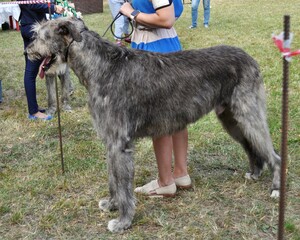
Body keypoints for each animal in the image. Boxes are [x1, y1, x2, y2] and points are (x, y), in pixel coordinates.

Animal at [25, 17, 282, 233]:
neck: (100, 66)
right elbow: (113, 179)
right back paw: (255, 173)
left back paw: (276, 188)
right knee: (251, 146)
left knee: (274, 154)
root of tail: (249, 57)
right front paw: (111, 204)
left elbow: (123, 184)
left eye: (40, 36)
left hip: (249, 114)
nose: (27, 51)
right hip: (231, 118)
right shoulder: (110, 141)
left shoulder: (120, 143)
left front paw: (123, 221)